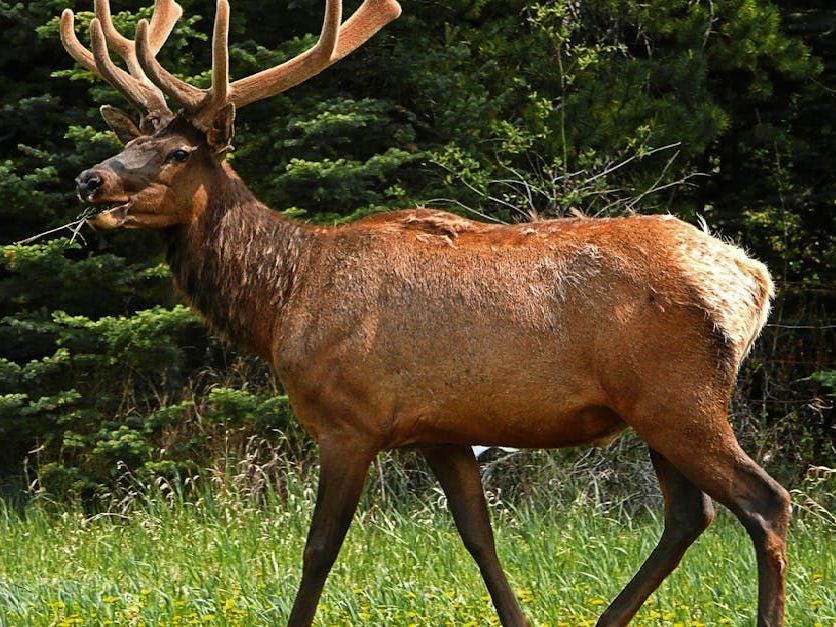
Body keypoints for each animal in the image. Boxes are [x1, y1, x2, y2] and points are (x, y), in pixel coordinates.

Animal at [58, 1, 791, 625]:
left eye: (178, 153)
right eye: (132, 141)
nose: (90, 180)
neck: (283, 301)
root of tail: (753, 280)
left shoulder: (350, 420)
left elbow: (318, 549)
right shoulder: (442, 430)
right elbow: (479, 538)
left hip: (678, 394)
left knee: (763, 502)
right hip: (652, 407)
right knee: (689, 516)